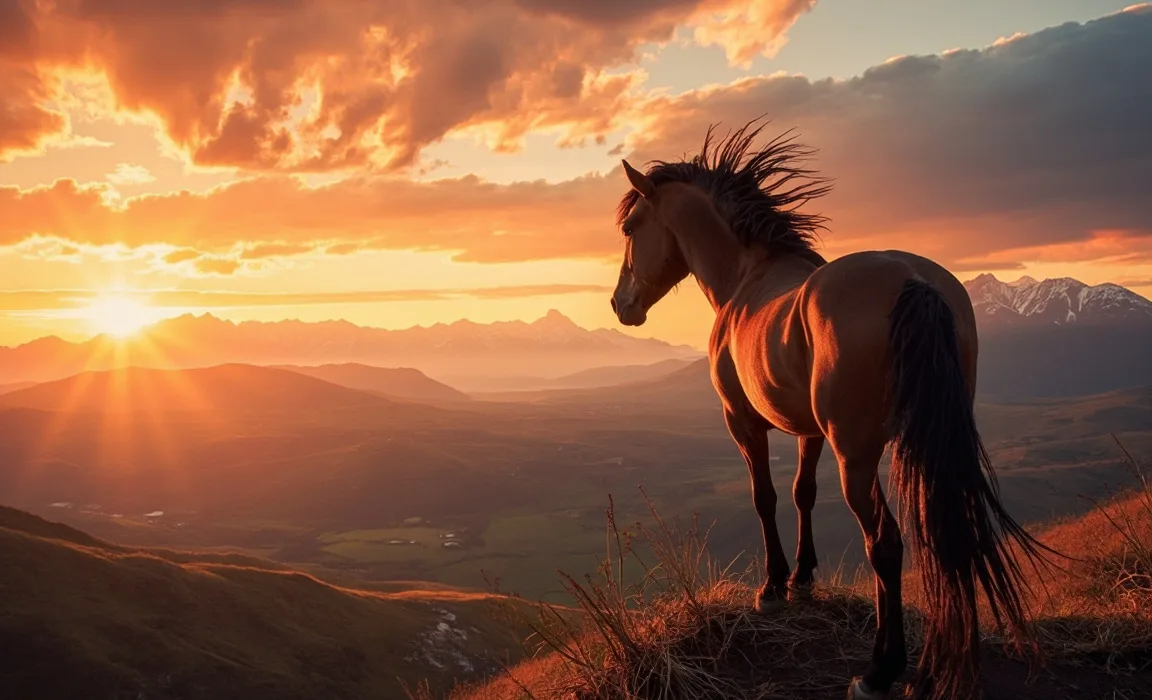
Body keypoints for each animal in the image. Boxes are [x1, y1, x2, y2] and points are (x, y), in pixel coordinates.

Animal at [608, 119, 1049, 700]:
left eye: (631, 226)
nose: (620, 304)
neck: (747, 276)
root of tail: (914, 281)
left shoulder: (742, 421)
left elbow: (766, 496)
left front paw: (773, 586)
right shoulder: (809, 430)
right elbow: (803, 493)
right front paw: (803, 578)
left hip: (857, 456)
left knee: (884, 541)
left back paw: (880, 671)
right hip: (925, 442)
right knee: (941, 531)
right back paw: (937, 665)